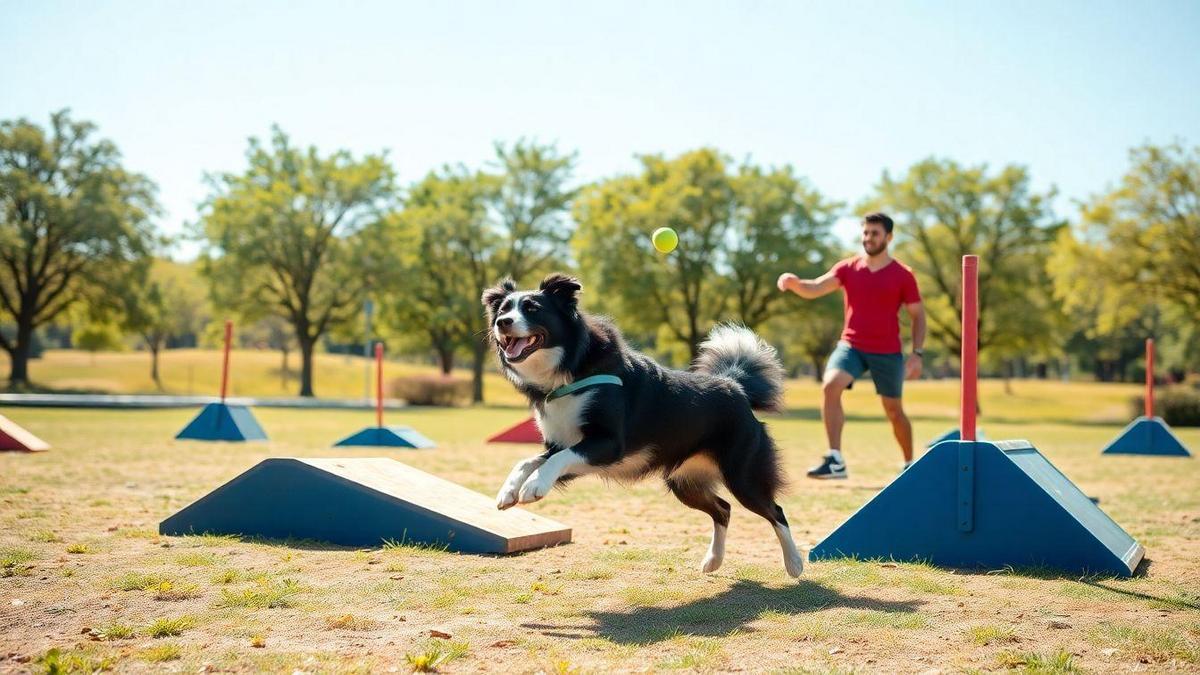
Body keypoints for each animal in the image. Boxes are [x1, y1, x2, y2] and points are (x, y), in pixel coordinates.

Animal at [480, 270, 806, 576]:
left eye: (532, 308)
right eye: (503, 310)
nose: (503, 323)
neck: (569, 371)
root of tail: (735, 385)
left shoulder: (607, 444)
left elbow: (554, 461)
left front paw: (533, 487)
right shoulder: (565, 444)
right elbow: (528, 460)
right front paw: (508, 491)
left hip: (743, 475)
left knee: (775, 511)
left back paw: (794, 563)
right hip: (684, 481)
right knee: (723, 509)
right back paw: (713, 561)